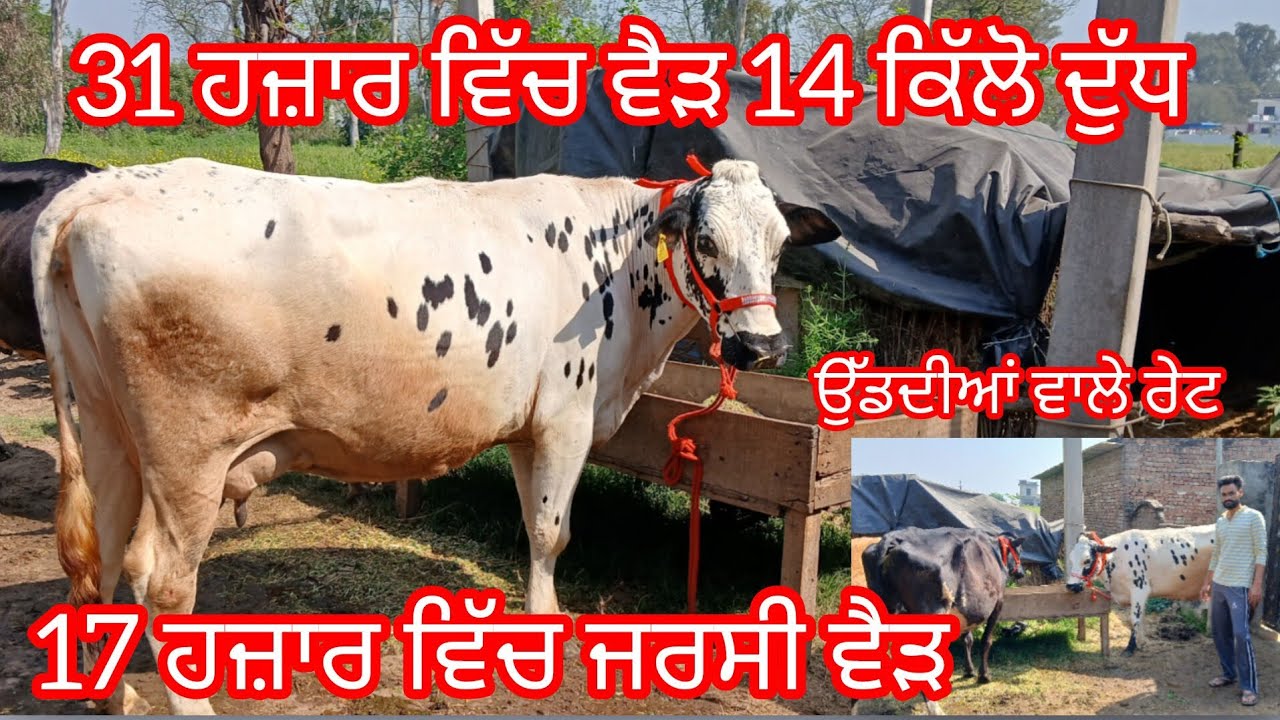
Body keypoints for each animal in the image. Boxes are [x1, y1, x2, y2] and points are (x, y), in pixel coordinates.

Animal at [30, 156, 841, 714]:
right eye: (706, 238)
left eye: (778, 245)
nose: (763, 345)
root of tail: (105, 187)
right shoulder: (566, 418)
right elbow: (554, 531)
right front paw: (550, 625)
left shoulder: (528, 427)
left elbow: (534, 526)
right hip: (187, 454)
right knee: (162, 581)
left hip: (106, 430)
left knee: (106, 556)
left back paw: (112, 695)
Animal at [861, 527, 1025, 714]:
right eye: (1019, 550)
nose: (1022, 572)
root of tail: (891, 538)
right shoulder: (998, 602)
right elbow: (986, 640)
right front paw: (984, 676)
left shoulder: (966, 609)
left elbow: (967, 639)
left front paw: (969, 671)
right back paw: (935, 708)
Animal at [1064, 525, 1215, 655]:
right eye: (1071, 559)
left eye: (1087, 560)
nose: (1071, 586)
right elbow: (1141, 617)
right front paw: (1141, 643)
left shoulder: (1139, 588)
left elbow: (1135, 618)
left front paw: (1130, 647)